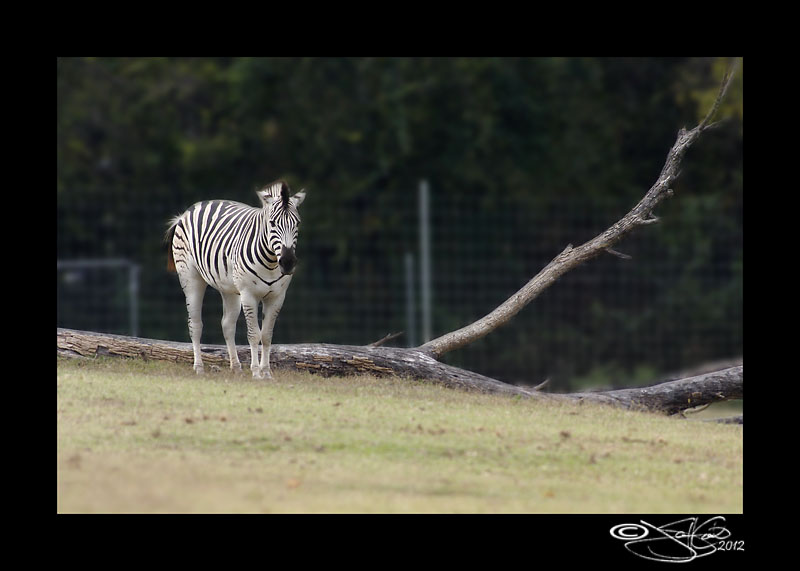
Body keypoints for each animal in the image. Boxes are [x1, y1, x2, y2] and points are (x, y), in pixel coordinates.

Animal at [166, 182, 306, 380]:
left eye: (297, 223)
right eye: (272, 223)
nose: (287, 262)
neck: (271, 262)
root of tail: (194, 207)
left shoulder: (277, 297)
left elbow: (267, 335)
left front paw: (266, 373)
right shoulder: (249, 295)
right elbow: (254, 334)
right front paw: (256, 373)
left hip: (229, 288)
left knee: (227, 325)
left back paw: (236, 367)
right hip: (190, 277)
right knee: (195, 324)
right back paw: (199, 367)